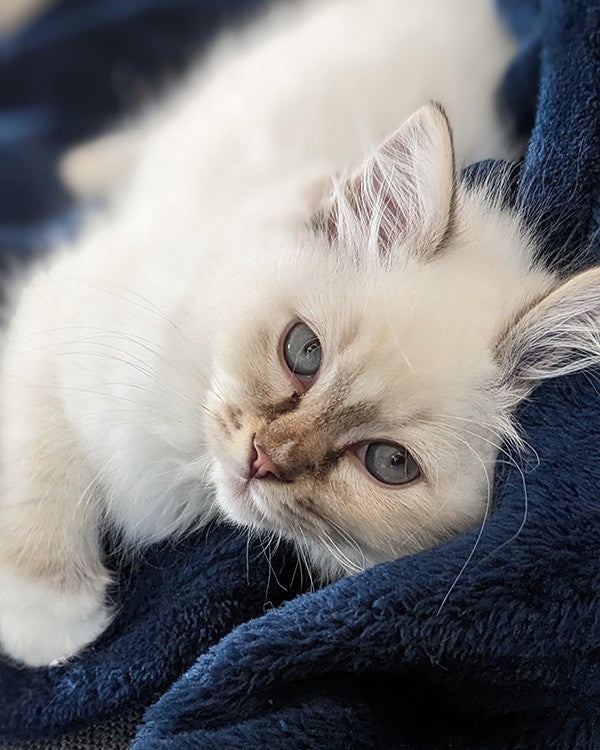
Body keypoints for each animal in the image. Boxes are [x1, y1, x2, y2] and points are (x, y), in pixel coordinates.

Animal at [1, 0, 600, 672]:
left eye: (389, 463)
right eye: (303, 352)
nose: (263, 457)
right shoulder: (61, 313)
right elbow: (36, 468)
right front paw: (48, 618)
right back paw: (86, 165)